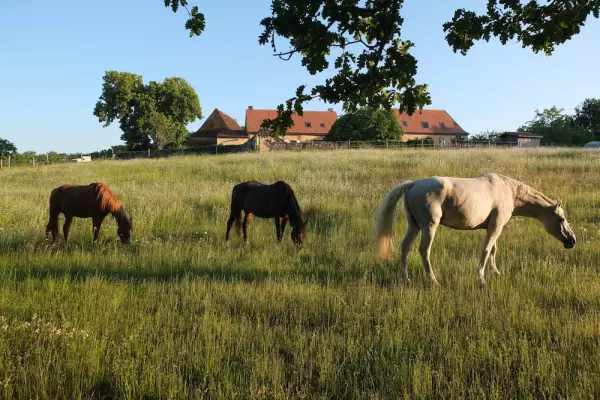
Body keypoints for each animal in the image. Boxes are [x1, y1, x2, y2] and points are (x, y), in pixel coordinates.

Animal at [376, 173, 576, 286]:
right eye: (561, 219)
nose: (572, 241)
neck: (509, 192)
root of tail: (414, 184)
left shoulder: (494, 228)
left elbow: (493, 250)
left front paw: (495, 272)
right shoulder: (495, 227)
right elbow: (486, 250)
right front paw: (481, 279)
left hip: (414, 226)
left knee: (405, 247)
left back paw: (405, 279)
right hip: (429, 227)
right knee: (424, 250)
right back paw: (433, 281)